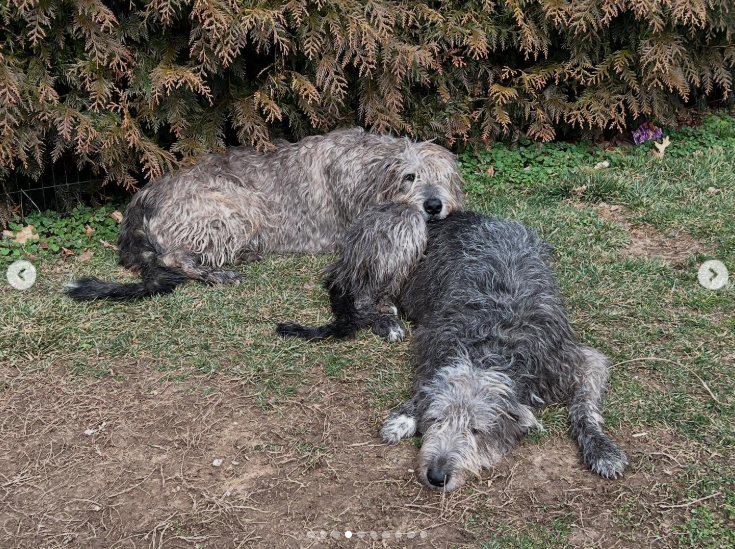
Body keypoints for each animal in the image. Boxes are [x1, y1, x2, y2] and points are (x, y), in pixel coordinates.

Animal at [66, 127, 462, 302]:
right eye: (410, 177)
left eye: (443, 178)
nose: (433, 206)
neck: (371, 168)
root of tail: (142, 198)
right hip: (237, 202)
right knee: (172, 257)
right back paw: (217, 273)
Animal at [278, 208, 628, 490]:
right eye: (436, 420)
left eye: (477, 430)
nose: (436, 476)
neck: (490, 347)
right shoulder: (432, 340)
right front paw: (404, 416)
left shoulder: (570, 358)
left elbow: (584, 406)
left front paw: (602, 449)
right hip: (407, 226)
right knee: (364, 296)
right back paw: (386, 321)